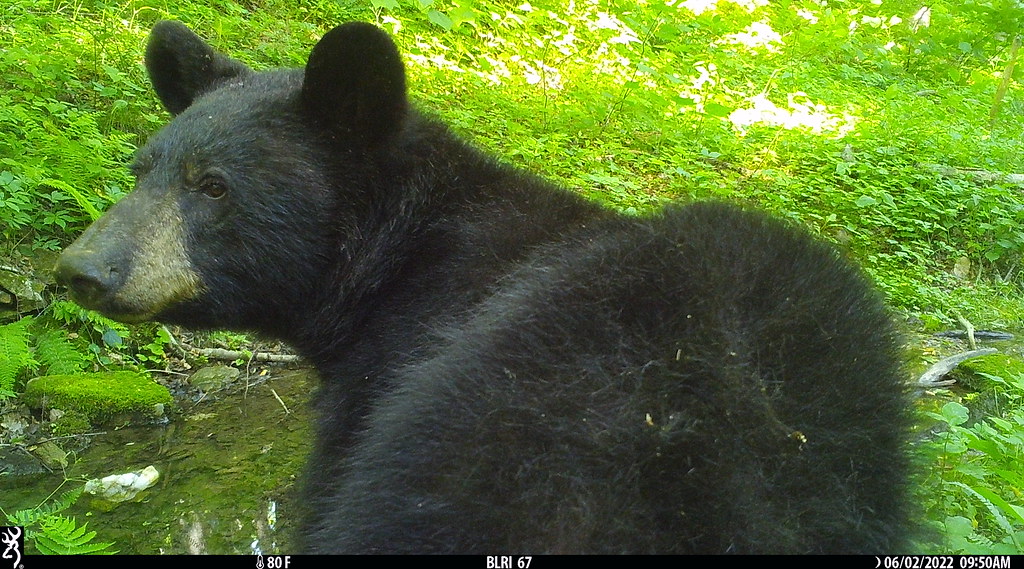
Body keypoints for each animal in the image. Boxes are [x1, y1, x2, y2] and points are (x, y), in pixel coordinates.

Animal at [55, 21, 911, 554]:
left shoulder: (383, 386)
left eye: (213, 186)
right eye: (142, 168)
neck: (393, 264)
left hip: (506, 434)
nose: (82, 269)